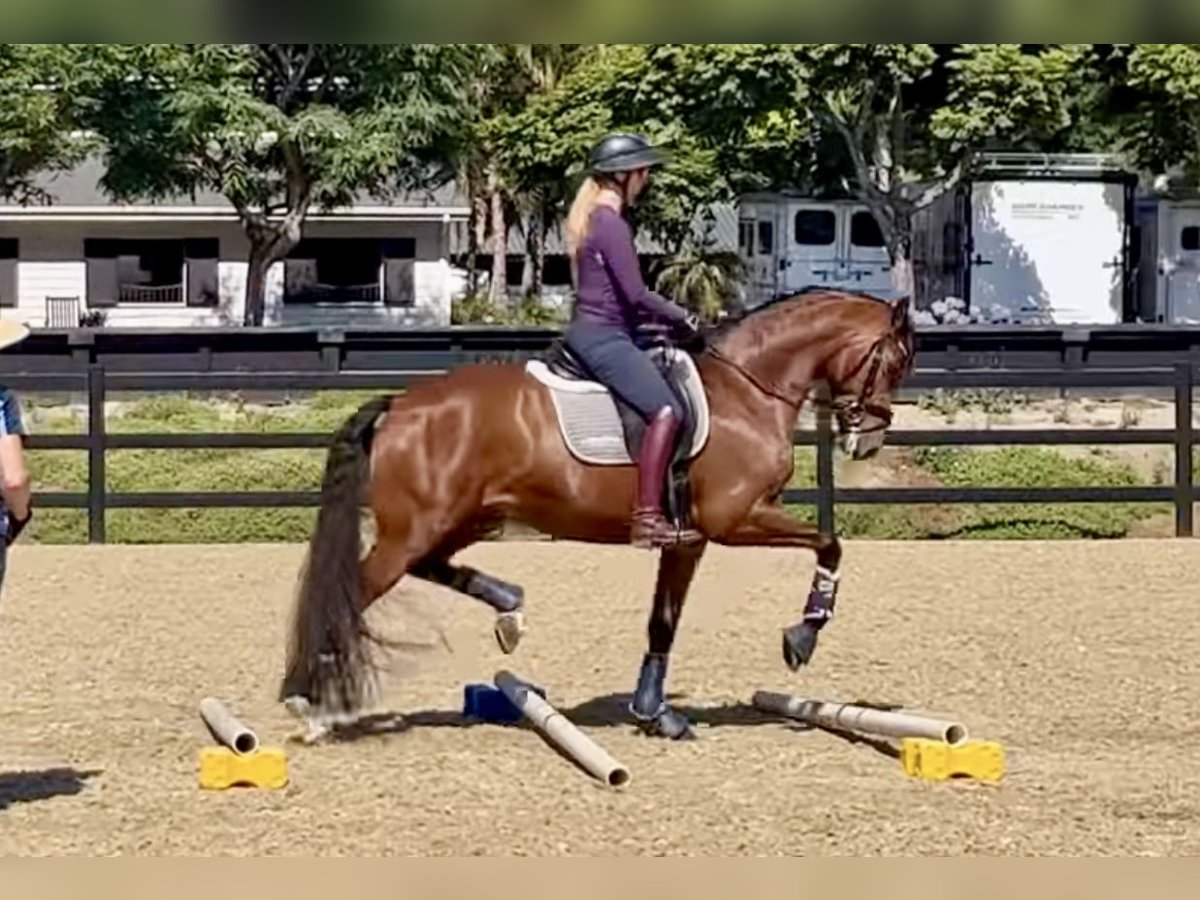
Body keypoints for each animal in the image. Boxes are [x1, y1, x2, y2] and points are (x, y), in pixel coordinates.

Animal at [283, 286, 916, 739]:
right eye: (893, 361)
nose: (869, 442)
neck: (747, 391)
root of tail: (399, 405)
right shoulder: (735, 521)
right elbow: (830, 542)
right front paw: (802, 637)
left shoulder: (689, 539)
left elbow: (663, 622)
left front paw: (654, 713)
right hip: (414, 530)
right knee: (352, 592)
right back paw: (307, 705)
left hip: (461, 520)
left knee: (432, 566)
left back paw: (509, 609)